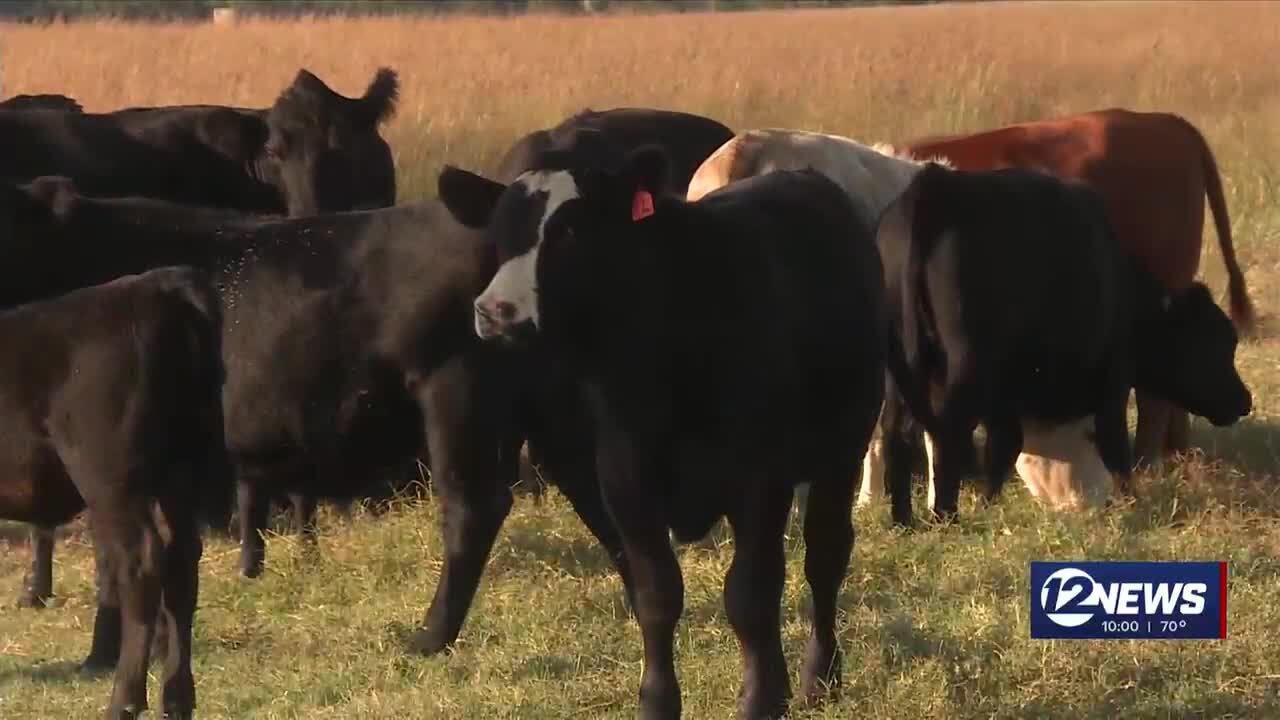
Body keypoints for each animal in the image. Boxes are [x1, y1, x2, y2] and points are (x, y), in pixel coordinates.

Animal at [0, 266, 229, 720]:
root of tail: (152, 285)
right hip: (179, 473)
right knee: (181, 567)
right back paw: (176, 700)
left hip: (109, 478)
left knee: (141, 565)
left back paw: (123, 700)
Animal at [3, 176, 628, 677]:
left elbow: (113, 560)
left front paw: (105, 654)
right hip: (552, 410)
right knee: (595, 493)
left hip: (457, 395)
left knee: (474, 509)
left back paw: (429, 638)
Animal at [438, 146, 887, 719]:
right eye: (499, 232)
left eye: (570, 230)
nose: (496, 312)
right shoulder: (626, 483)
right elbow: (656, 595)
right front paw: (657, 700)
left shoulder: (759, 483)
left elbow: (750, 595)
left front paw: (761, 697)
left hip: (841, 451)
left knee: (825, 557)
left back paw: (819, 674)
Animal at [876, 163, 1251, 526]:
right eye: (1213, 343)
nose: (1245, 400)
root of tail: (936, 189)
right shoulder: (1113, 383)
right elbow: (1115, 449)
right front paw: (1132, 501)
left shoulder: (1006, 399)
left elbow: (1002, 450)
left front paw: (987, 503)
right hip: (965, 371)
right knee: (947, 434)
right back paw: (945, 516)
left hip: (900, 373)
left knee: (898, 432)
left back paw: (904, 520)